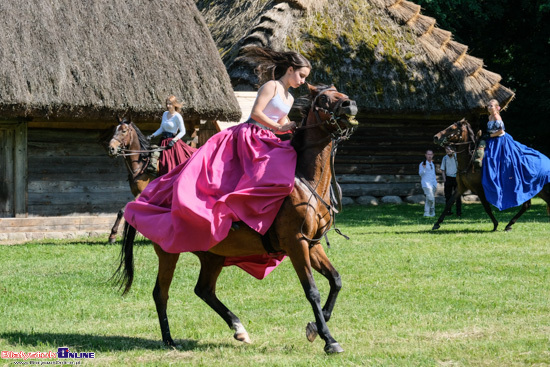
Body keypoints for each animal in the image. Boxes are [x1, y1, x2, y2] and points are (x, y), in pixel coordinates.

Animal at [114, 85, 360, 356]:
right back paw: (169, 340)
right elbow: (312, 291)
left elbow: (336, 281)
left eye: (340, 93)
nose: (350, 105)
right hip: (169, 253)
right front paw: (329, 339)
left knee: (204, 290)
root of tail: (147, 200)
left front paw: (316, 327)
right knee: (161, 293)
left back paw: (238, 328)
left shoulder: (312, 244)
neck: (306, 182)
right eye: (324, 98)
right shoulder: (297, 244)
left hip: (213, 255)